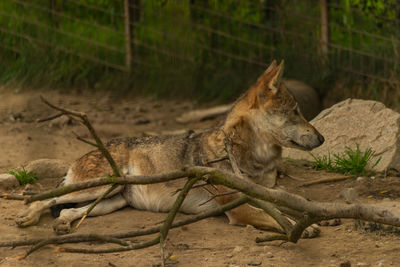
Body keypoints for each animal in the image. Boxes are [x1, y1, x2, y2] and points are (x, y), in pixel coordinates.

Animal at [15, 60, 324, 237]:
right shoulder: (240, 210)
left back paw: (63, 225)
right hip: (96, 188)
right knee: (45, 198)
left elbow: (295, 202)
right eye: (296, 112)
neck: (253, 161)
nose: (321, 138)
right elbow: (275, 216)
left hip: (112, 200)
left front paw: (315, 216)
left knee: (67, 212)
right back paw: (27, 216)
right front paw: (303, 227)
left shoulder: (268, 193)